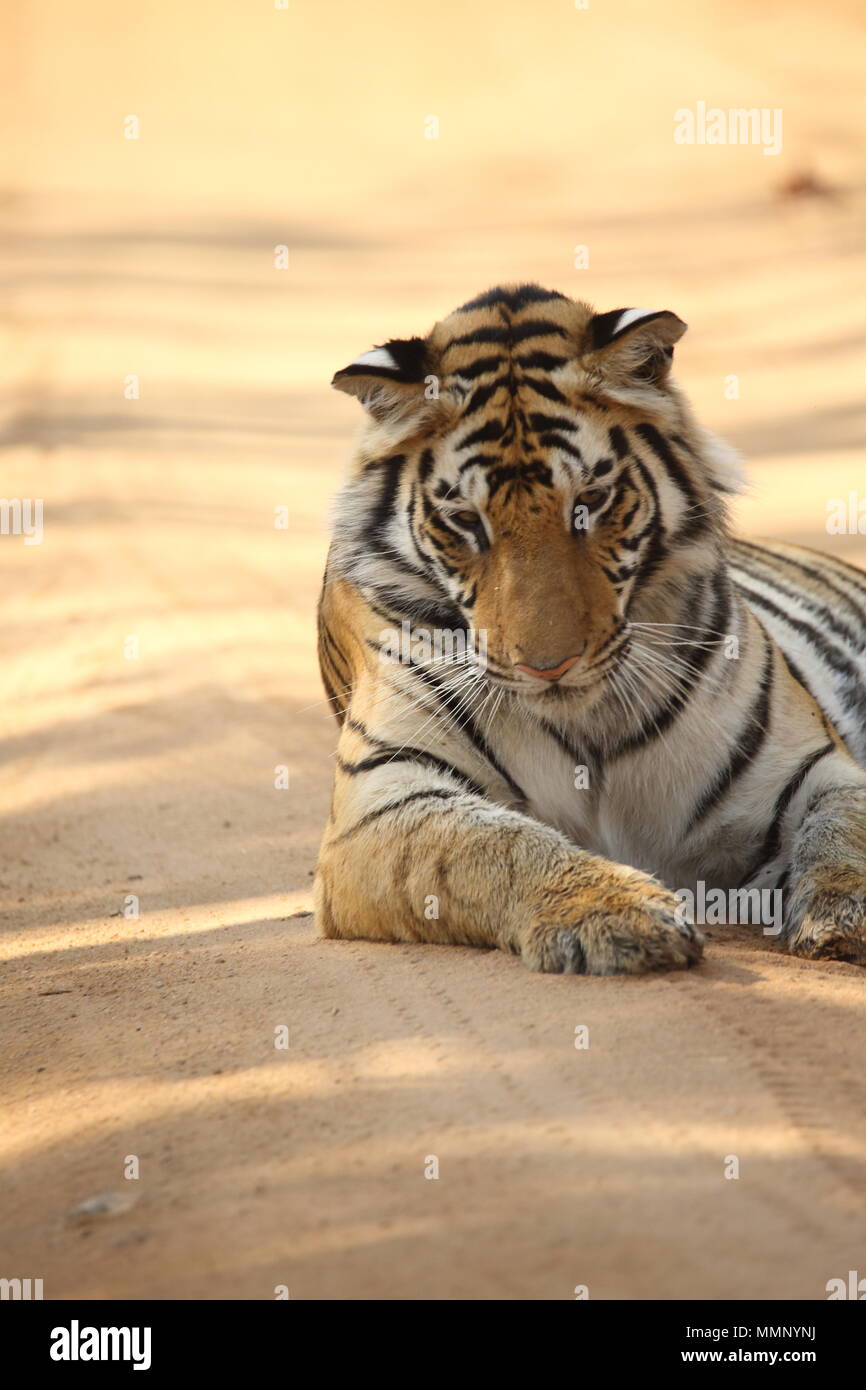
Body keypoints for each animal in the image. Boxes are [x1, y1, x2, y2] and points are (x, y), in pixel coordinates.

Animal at [315, 282, 866, 978]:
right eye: (465, 521)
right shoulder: (387, 796)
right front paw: (617, 914)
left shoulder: (809, 766)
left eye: (592, 502)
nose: (547, 666)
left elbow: (845, 830)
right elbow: (493, 847)